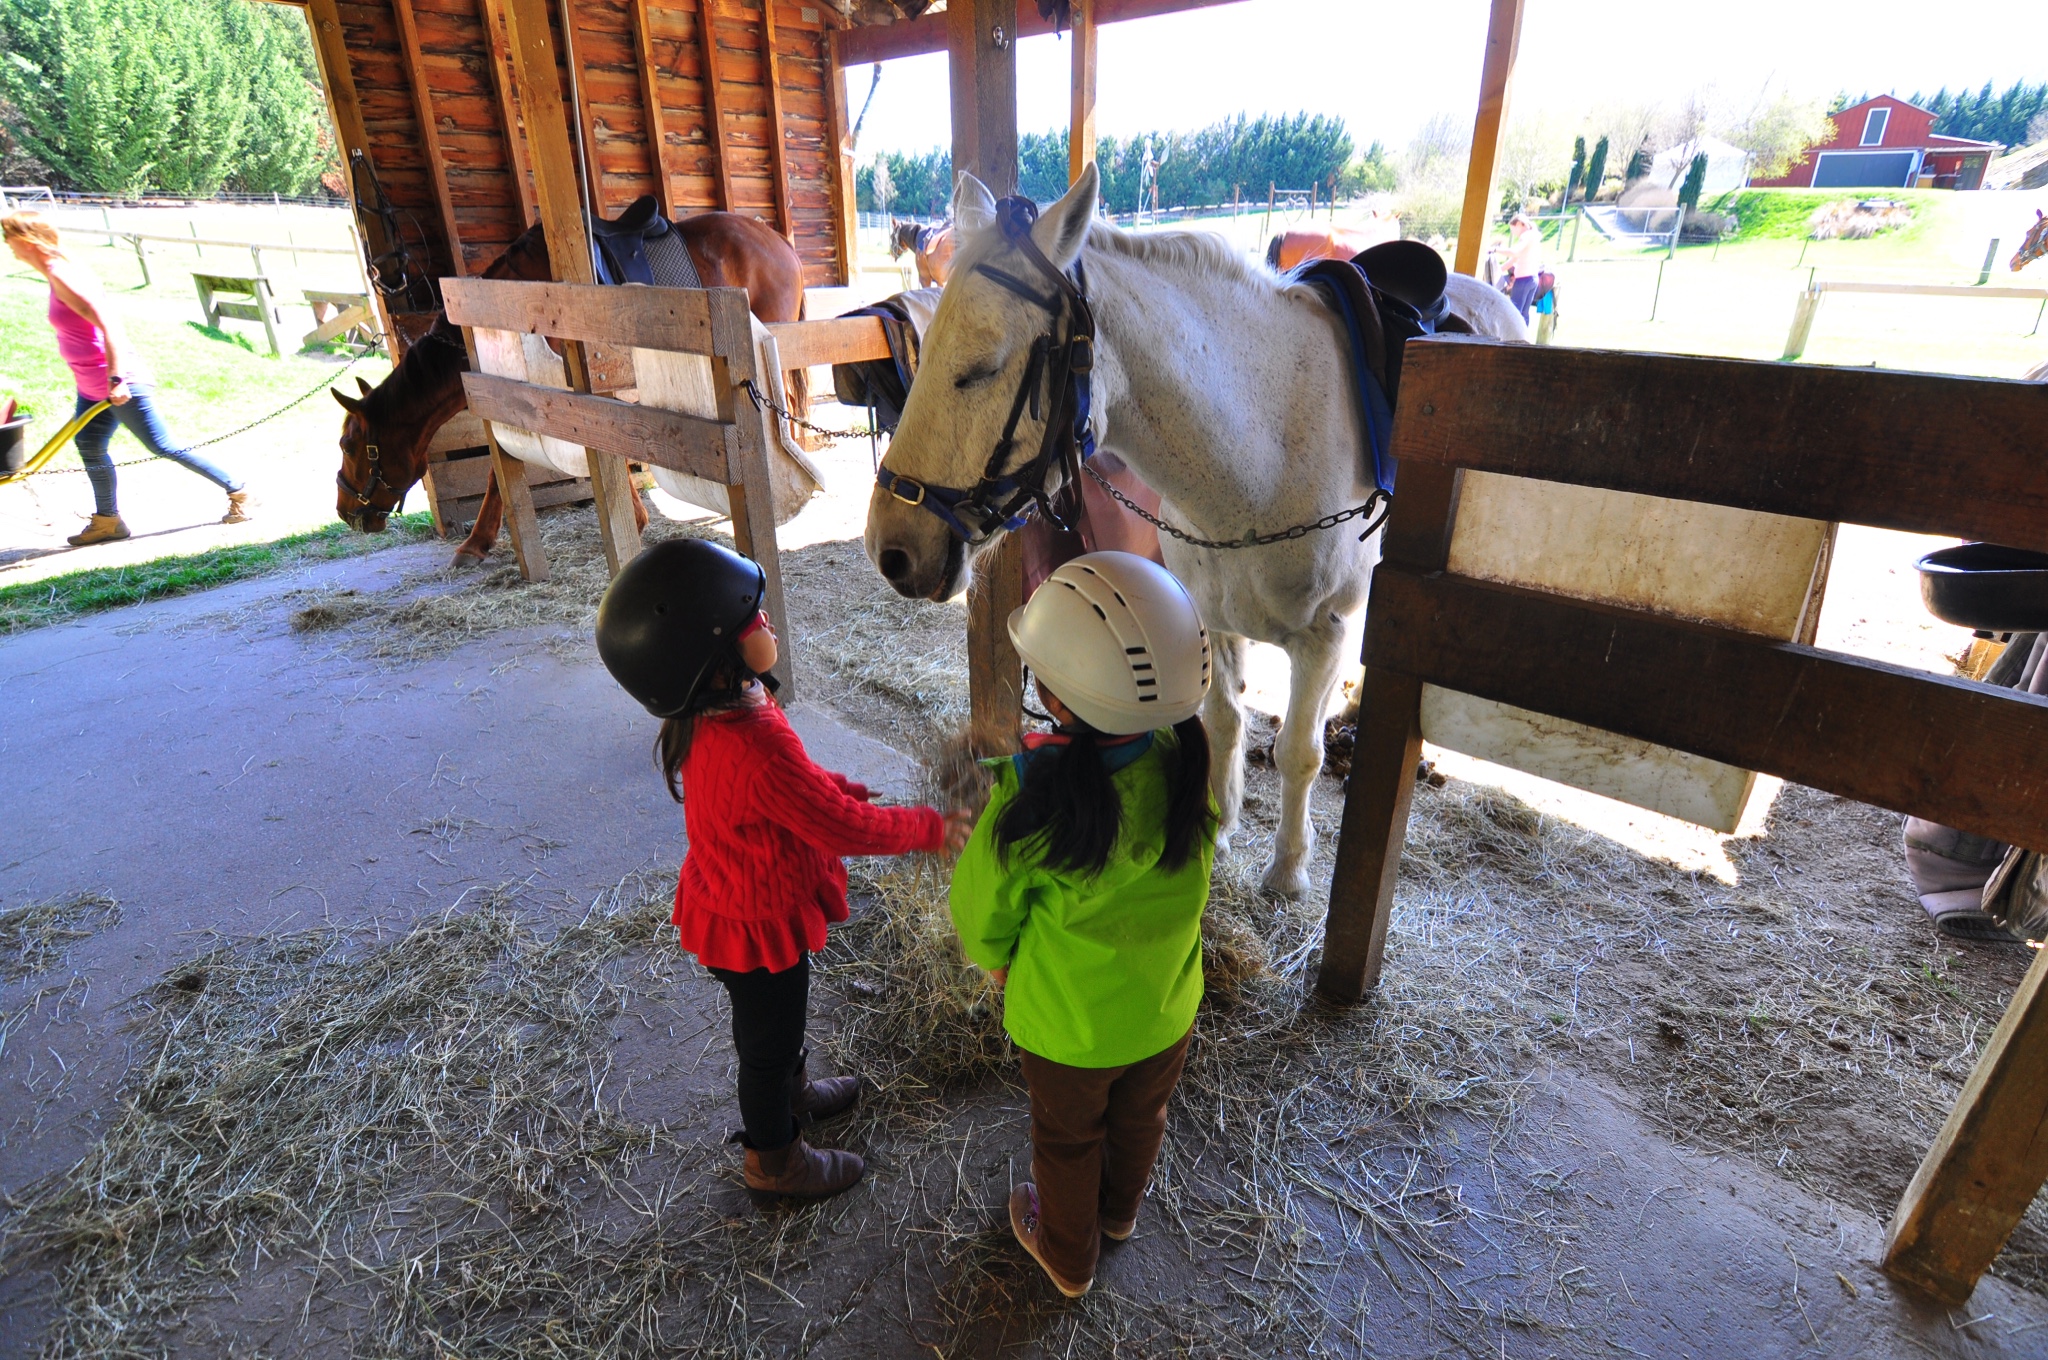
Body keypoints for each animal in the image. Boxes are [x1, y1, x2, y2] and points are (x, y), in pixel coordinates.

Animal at [864, 164, 1523, 897]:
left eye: (982, 368)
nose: (891, 549)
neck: (1258, 464)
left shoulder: (1324, 638)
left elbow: (1297, 751)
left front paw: (1288, 869)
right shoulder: (1211, 618)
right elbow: (1225, 724)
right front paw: (1222, 827)